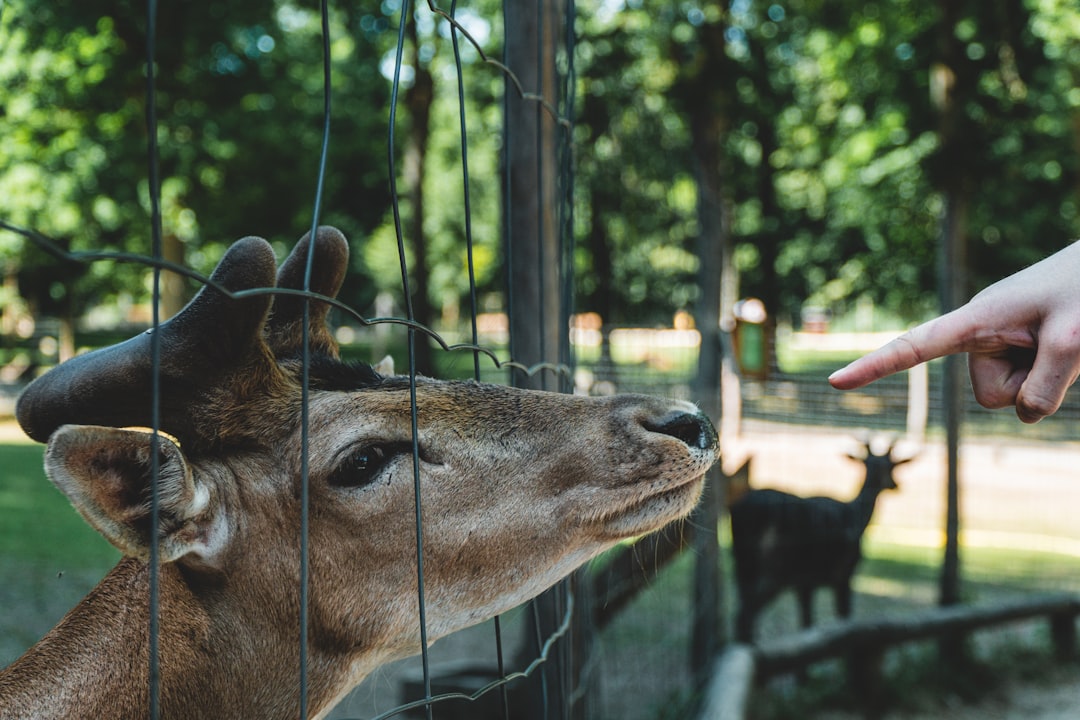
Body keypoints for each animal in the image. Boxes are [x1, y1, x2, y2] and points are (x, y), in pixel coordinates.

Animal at [725, 440, 911, 643]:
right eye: (892, 465)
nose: (897, 484)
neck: (856, 518)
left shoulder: (805, 583)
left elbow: (806, 624)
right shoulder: (843, 574)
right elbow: (843, 619)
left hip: (742, 565)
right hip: (775, 569)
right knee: (745, 615)